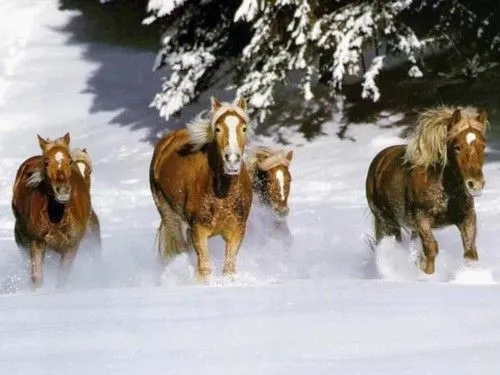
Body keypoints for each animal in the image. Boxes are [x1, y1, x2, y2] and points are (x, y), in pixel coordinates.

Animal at [11, 134, 91, 286]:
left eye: (70, 161)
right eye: (46, 162)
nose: (63, 191)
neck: (57, 218)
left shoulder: (71, 246)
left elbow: (62, 278)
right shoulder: (37, 242)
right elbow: (37, 277)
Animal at [150, 97, 254, 282]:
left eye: (244, 128)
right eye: (218, 129)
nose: (232, 161)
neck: (222, 196)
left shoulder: (237, 230)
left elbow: (229, 268)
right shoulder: (199, 230)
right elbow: (205, 268)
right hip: (169, 217)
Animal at [366, 107, 486, 274]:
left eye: (483, 145)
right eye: (457, 147)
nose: (476, 184)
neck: (446, 191)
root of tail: (379, 161)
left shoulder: (467, 216)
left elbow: (470, 252)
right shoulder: (421, 218)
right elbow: (431, 249)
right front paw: (427, 276)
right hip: (386, 220)